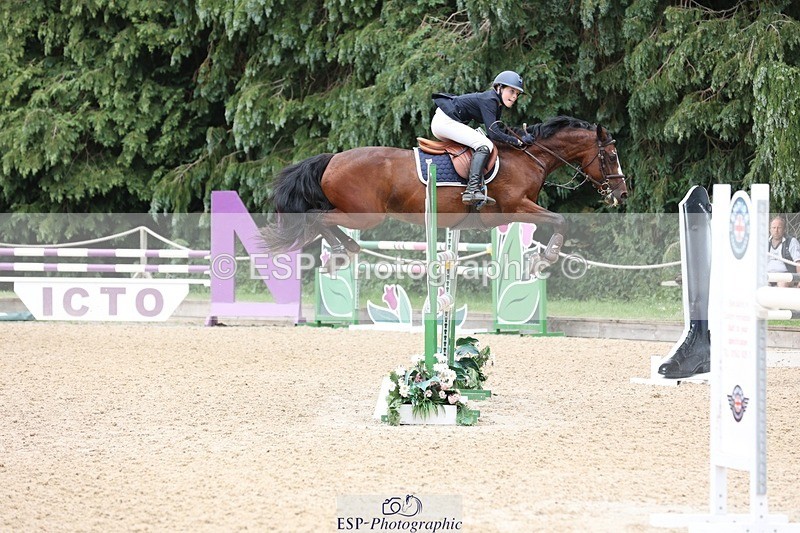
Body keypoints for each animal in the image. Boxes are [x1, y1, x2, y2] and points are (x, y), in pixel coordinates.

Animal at [263, 116, 628, 265]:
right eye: (611, 156)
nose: (622, 194)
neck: (528, 157)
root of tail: (332, 158)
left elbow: (552, 221)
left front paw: (541, 256)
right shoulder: (514, 207)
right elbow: (559, 220)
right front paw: (547, 257)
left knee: (321, 220)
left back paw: (346, 250)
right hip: (366, 215)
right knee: (318, 218)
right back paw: (344, 251)